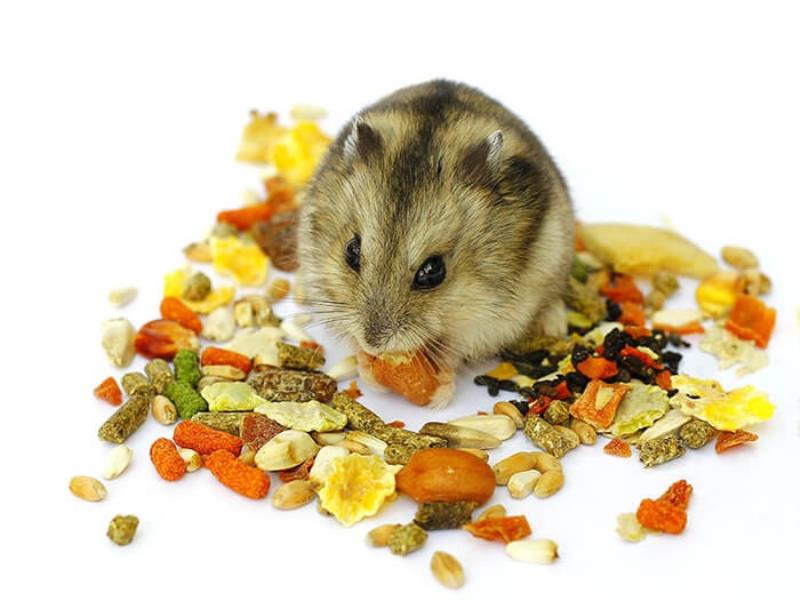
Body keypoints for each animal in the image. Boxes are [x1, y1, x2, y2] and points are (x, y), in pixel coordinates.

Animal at [298, 80, 574, 406]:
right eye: (351, 252)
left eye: (433, 271)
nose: (375, 342)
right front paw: (369, 368)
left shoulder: (488, 321)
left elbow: (452, 349)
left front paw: (439, 394)